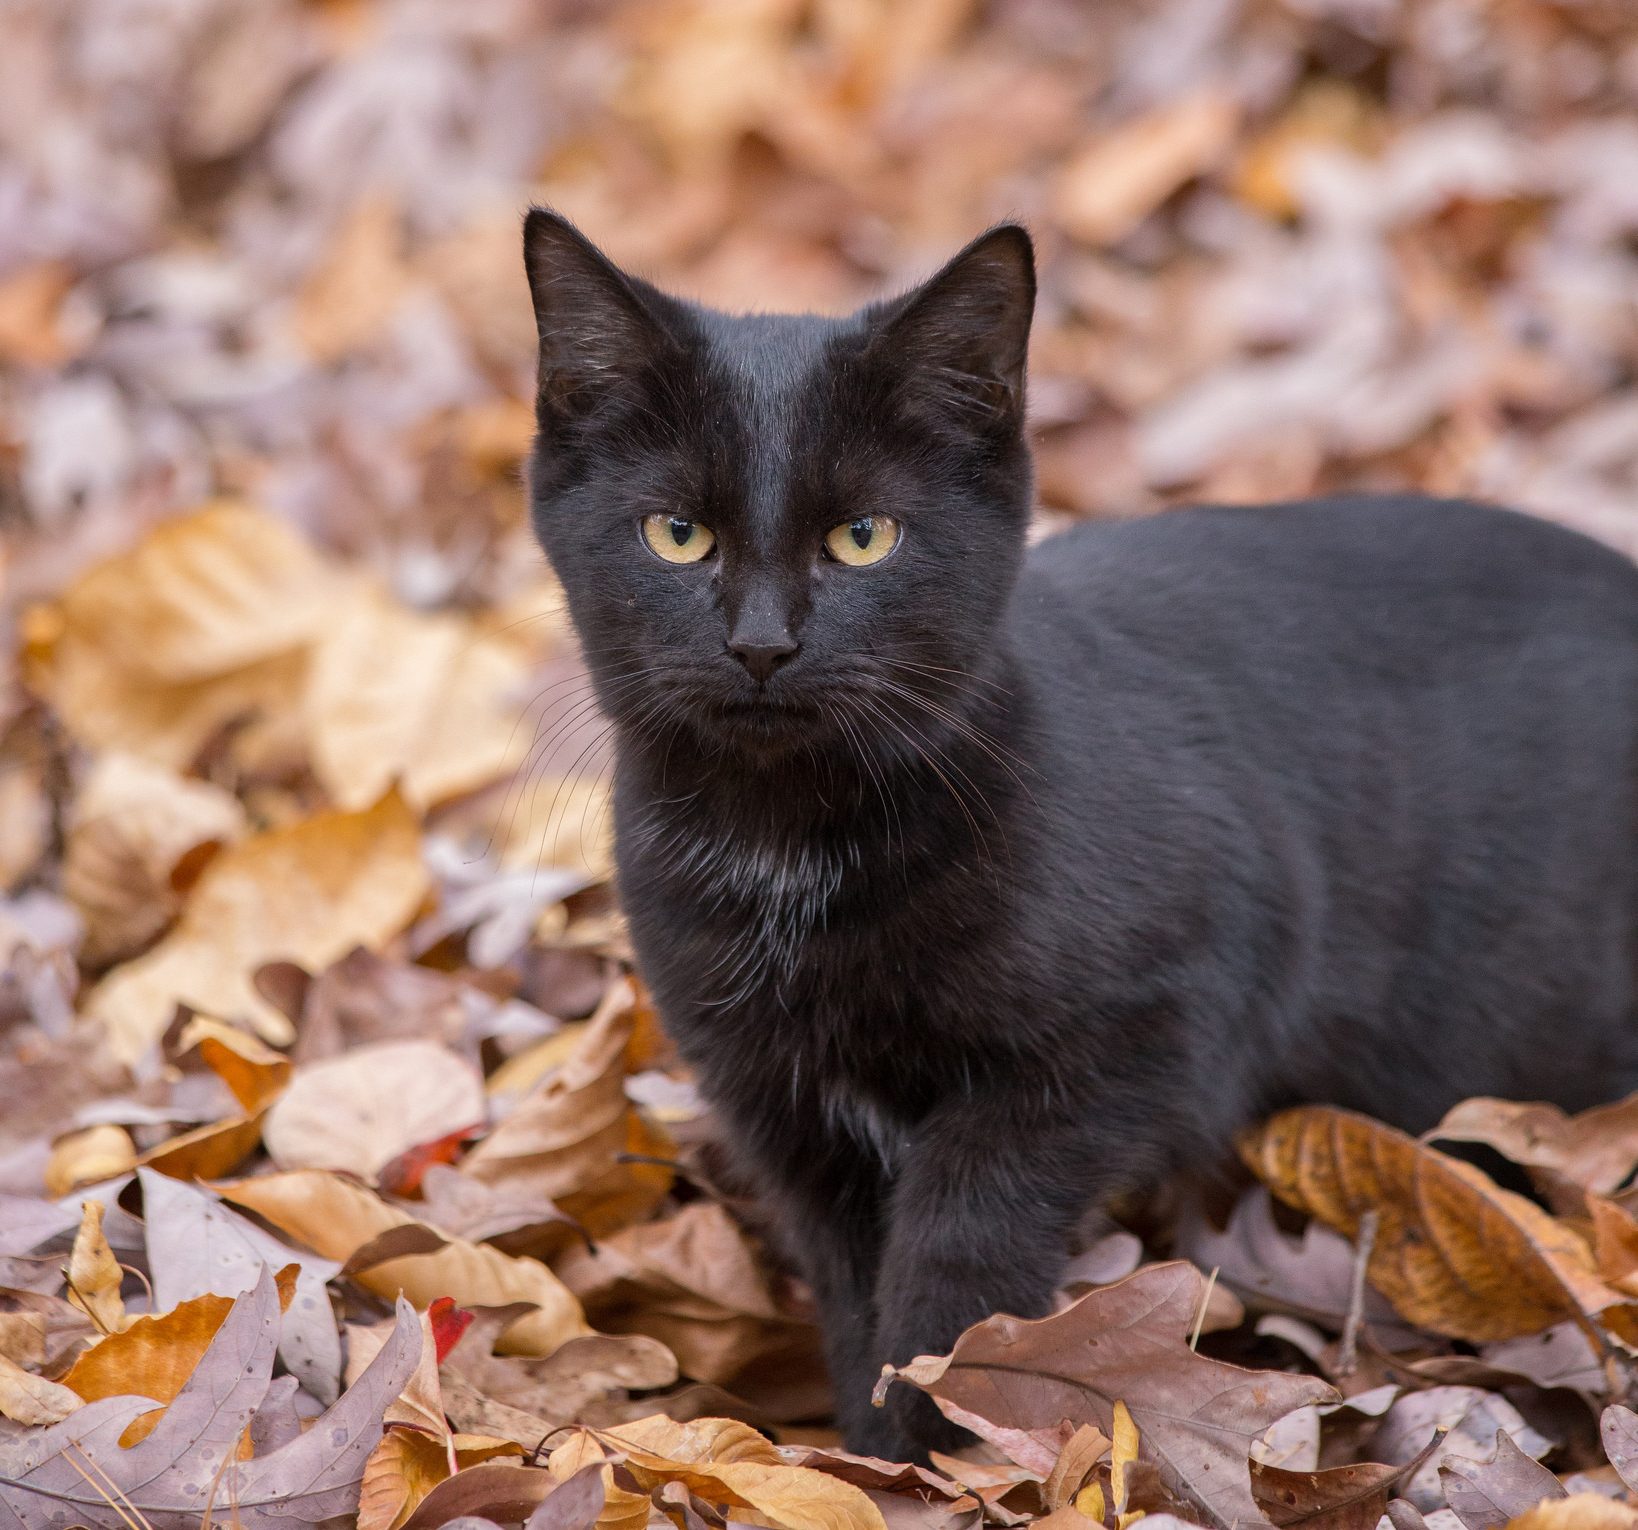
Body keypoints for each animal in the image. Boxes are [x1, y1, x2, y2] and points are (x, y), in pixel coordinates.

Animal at [517, 209, 1638, 1467]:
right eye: (676, 534)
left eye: (864, 537)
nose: (762, 643)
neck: (787, 846)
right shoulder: (782, 1103)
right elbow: (851, 1274)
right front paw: (873, 1442)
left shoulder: (1147, 1022)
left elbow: (965, 1224)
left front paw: (937, 1428)